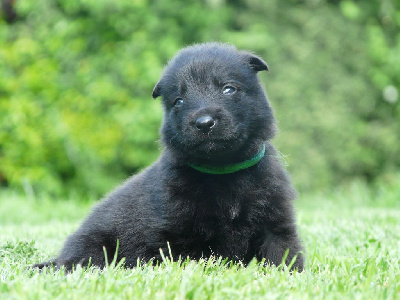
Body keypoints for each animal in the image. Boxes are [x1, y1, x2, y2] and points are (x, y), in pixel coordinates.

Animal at [33, 42, 304, 272]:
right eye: (178, 101)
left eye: (228, 89)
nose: (204, 123)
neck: (224, 171)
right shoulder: (178, 232)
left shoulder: (276, 224)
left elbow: (285, 255)